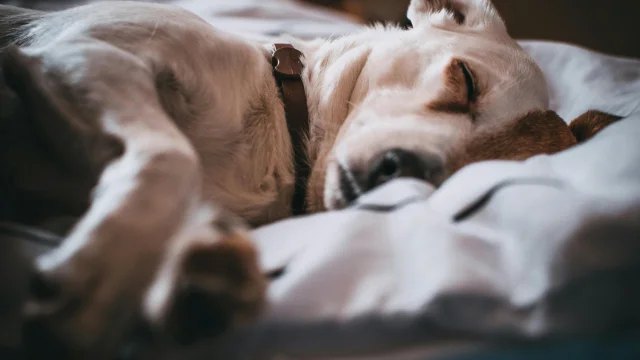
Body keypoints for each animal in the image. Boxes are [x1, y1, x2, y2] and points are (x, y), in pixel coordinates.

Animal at [0, 0, 620, 358]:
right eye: (465, 80)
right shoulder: (81, 55)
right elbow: (171, 157)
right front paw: (99, 283)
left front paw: (199, 274)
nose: (401, 171)